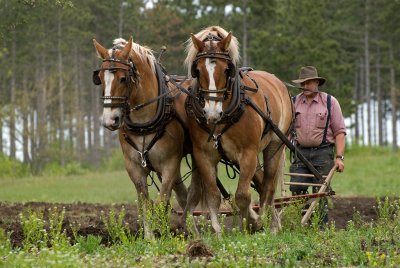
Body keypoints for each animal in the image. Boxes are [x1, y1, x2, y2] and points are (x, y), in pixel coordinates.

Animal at [94, 36, 194, 238]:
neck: (143, 122)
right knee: (183, 194)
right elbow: (145, 206)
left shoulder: (169, 163)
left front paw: (162, 235)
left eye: (123, 78)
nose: (110, 120)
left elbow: (162, 202)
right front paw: (150, 239)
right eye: (99, 78)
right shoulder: (134, 167)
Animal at [184, 26, 294, 233]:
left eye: (227, 70)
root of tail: (277, 82)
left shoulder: (248, 154)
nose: (212, 113)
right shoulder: (203, 155)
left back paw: (270, 224)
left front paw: (251, 225)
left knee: (268, 186)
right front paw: (218, 232)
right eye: (198, 70)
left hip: (275, 145)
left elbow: (242, 195)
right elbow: (213, 195)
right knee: (262, 182)